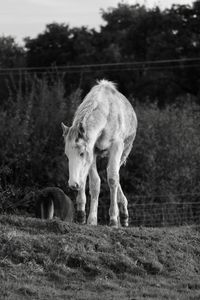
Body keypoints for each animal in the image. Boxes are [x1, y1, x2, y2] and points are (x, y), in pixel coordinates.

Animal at [61, 79, 137, 227]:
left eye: (82, 153)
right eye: (67, 155)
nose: (72, 184)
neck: (105, 116)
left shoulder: (116, 146)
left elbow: (112, 178)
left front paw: (113, 219)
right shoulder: (93, 150)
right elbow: (95, 183)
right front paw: (89, 219)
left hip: (125, 151)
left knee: (115, 173)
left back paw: (122, 215)